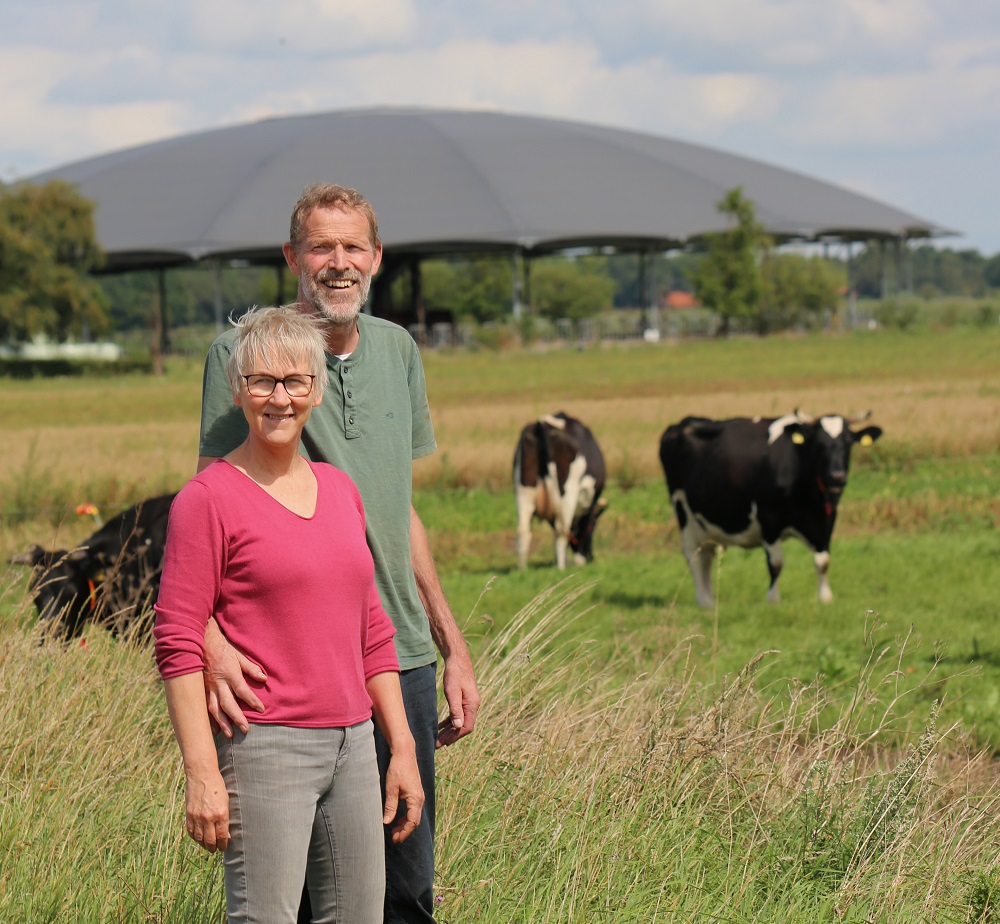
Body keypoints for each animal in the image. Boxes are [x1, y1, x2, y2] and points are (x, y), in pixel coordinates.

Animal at [516, 414, 608, 572]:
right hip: (567, 493)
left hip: (524, 492)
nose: (591, 557)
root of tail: (543, 423)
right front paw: (578, 562)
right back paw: (561, 569)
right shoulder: (590, 504)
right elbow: (581, 528)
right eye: (593, 528)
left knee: (524, 530)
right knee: (562, 531)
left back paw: (523, 570)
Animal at [664, 412, 884, 608]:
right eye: (819, 444)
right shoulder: (768, 519)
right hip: (684, 514)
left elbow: (823, 561)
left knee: (706, 557)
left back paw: (710, 601)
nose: (837, 476)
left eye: (848, 443)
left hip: (707, 526)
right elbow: (776, 563)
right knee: (693, 557)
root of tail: (682, 423)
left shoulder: (826, 521)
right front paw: (773, 600)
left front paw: (825, 598)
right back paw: (703, 601)